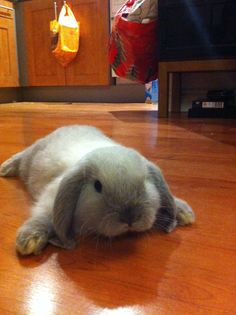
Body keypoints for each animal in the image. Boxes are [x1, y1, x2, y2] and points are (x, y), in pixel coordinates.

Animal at [0, 124, 195, 256]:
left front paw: (184, 212)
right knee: (20, 156)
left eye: (145, 181)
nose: (129, 218)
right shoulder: (49, 199)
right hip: (30, 157)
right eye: (97, 186)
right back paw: (5, 168)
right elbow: (43, 215)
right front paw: (28, 241)